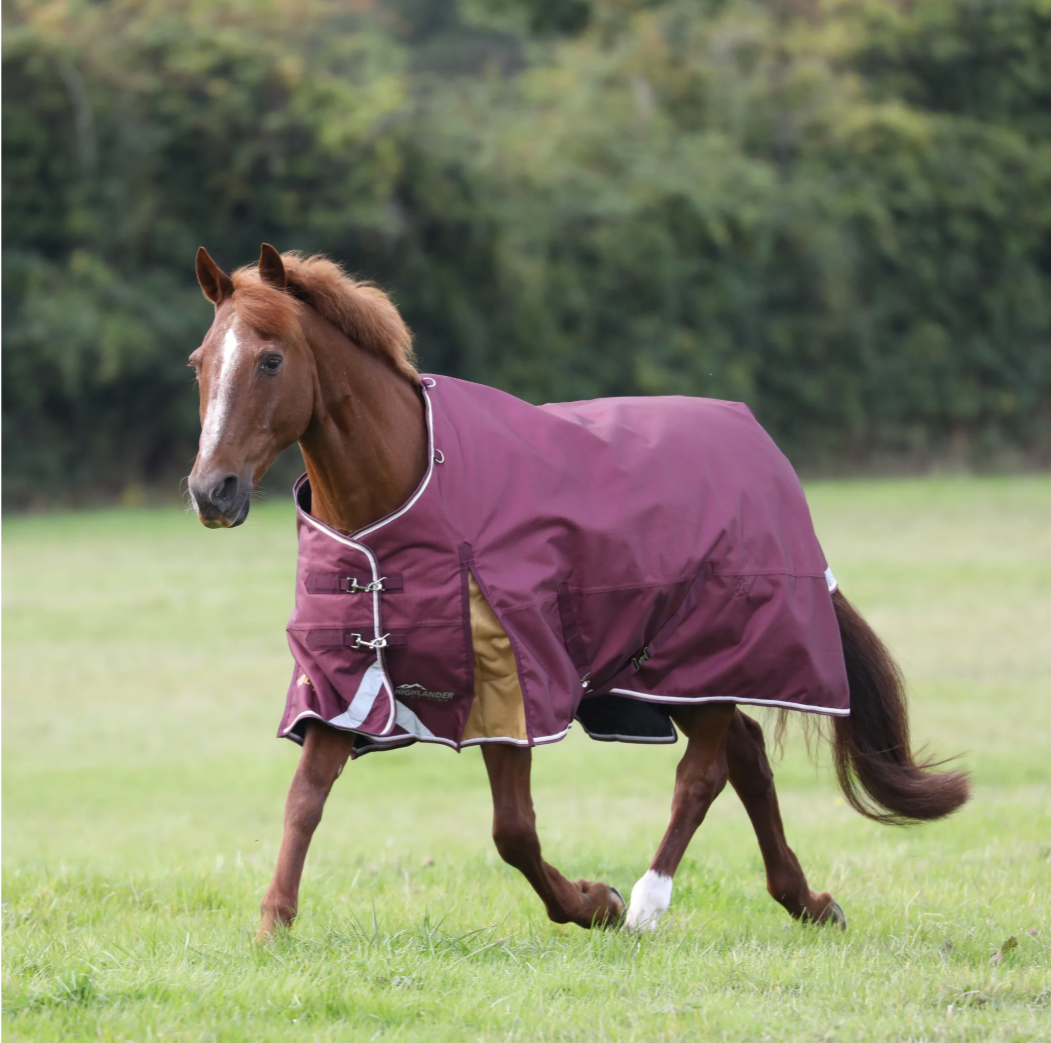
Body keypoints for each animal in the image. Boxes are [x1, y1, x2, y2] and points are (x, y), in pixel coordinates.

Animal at [187, 244, 970, 942]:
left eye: (270, 359)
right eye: (200, 362)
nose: (210, 491)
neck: (405, 495)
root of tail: (762, 447)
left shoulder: (509, 677)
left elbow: (513, 832)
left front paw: (594, 902)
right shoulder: (344, 677)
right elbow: (304, 799)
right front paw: (273, 925)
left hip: (707, 648)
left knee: (704, 771)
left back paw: (650, 901)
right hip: (669, 674)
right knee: (744, 753)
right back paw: (805, 901)